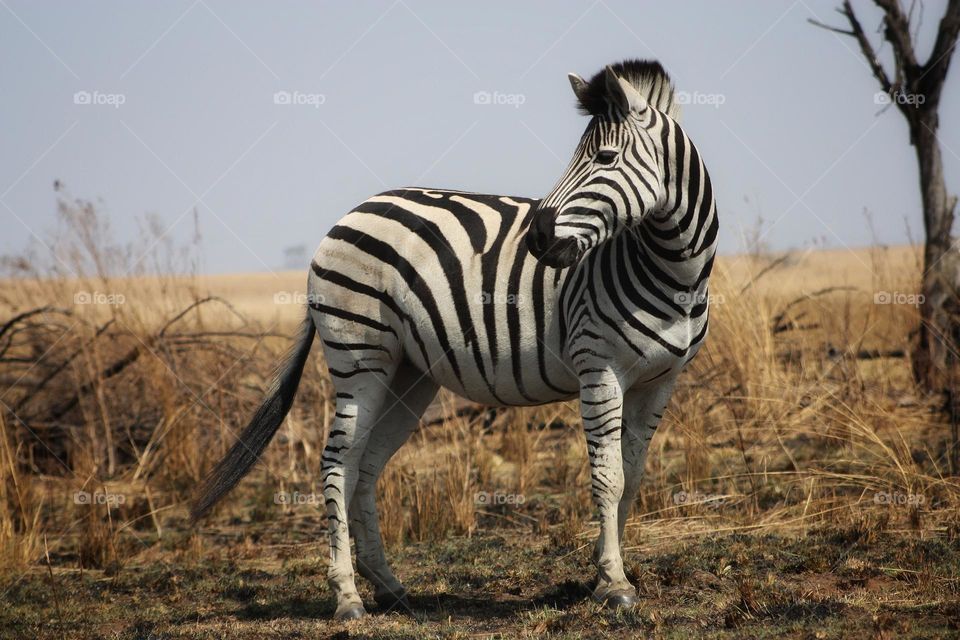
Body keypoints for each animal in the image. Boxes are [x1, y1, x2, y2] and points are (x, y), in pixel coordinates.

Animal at [193, 60, 720, 620]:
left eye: (604, 158)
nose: (537, 239)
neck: (675, 272)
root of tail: (353, 212)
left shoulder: (661, 381)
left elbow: (633, 478)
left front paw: (602, 576)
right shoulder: (598, 368)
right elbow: (609, 477)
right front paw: (614, 583)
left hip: (408, 373)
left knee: (366, 466)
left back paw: (389, 586)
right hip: (360, 357)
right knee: (339, 463)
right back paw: (347, 595)